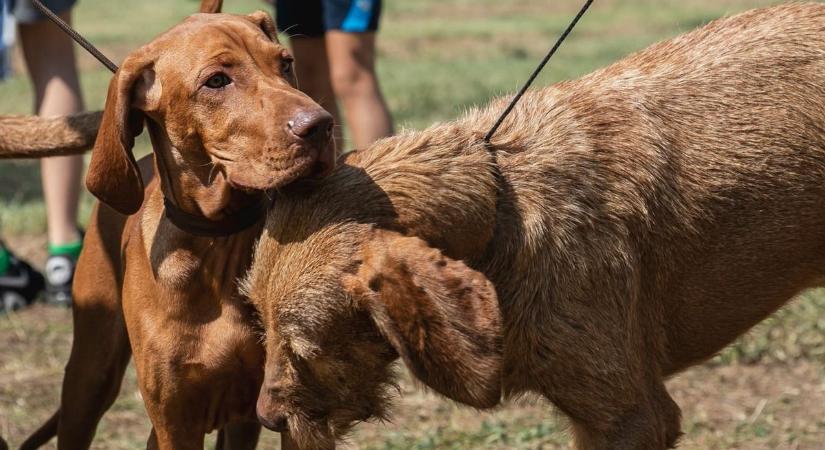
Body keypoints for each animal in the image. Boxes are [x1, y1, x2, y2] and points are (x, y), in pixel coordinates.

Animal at [22, 4, 334, 450]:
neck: (219, 241)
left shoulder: (288, 409)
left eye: (286, 64)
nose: (321, 125)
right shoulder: (176, 416)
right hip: (90, 374)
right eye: (216, 81)